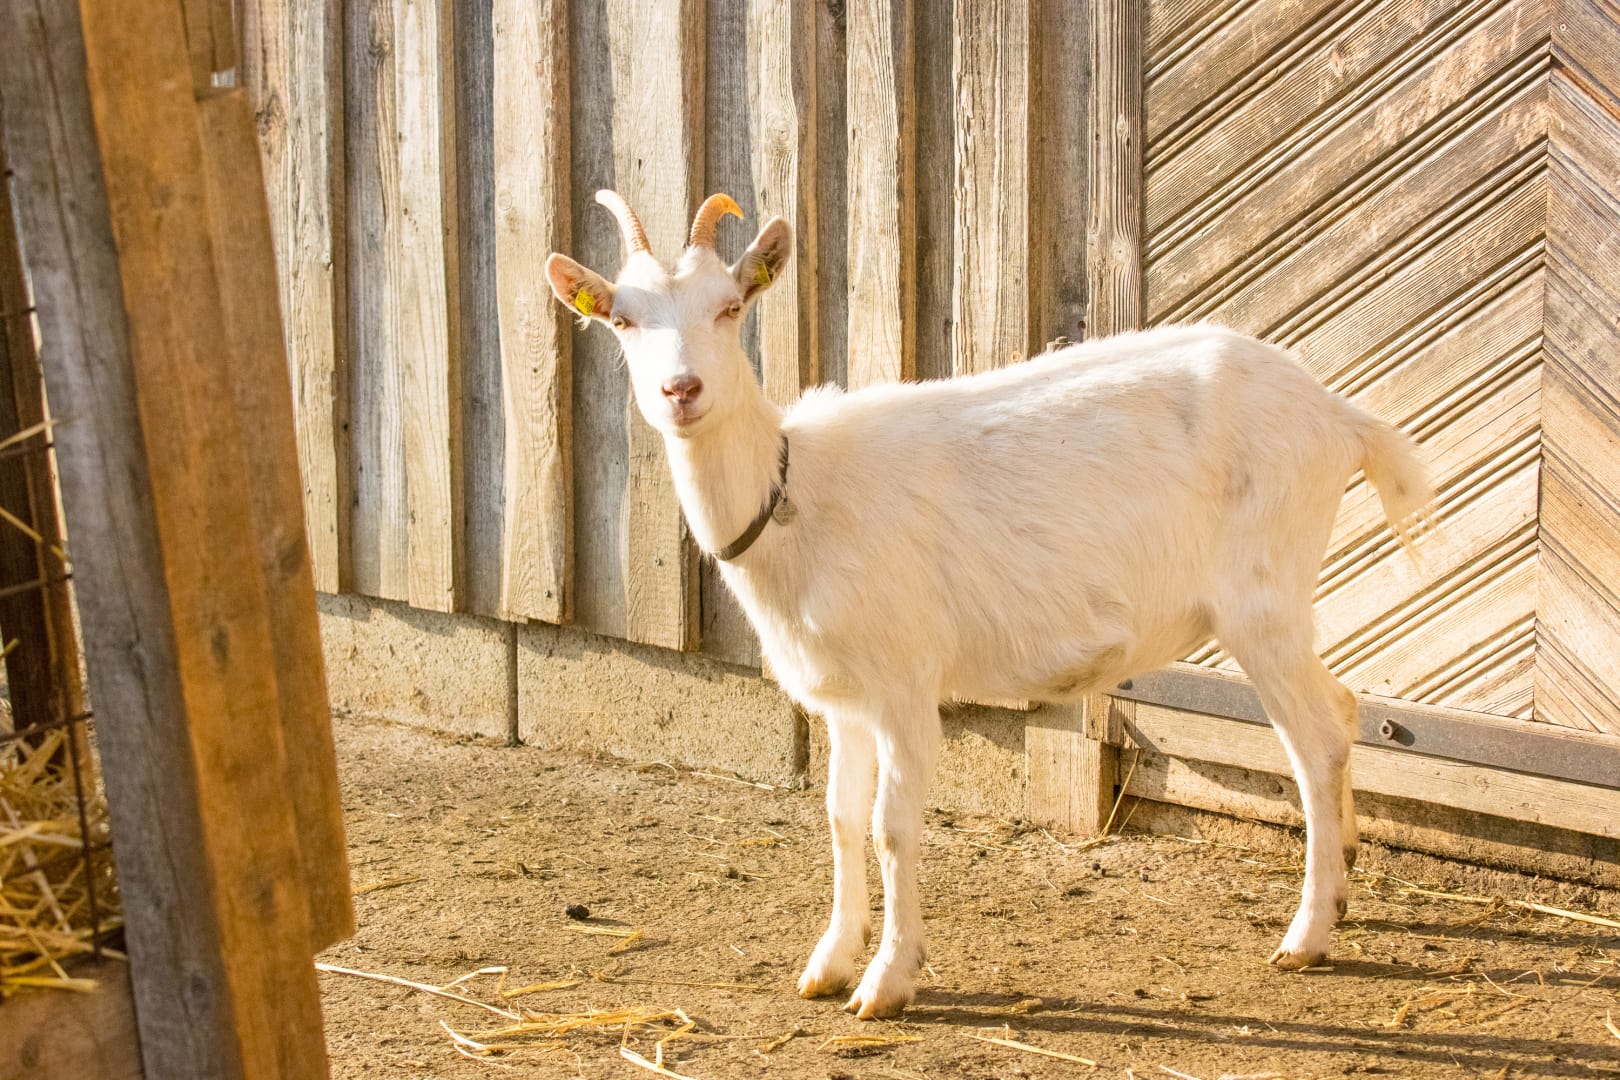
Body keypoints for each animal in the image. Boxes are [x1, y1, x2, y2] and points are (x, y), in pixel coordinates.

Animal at [545, 190, 1434, 1020]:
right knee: (1344, 705)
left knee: (1315, 737)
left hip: (1262, 599)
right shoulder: (844, 695)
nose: (681, 389)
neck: (801, 493)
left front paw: (888, 982)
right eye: (622, 319)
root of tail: (1339, 416)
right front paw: (828, 963)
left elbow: (893, 826)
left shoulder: (905, 682)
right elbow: (839, 817)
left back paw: (1306, 935)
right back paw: (1346, 881)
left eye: (730, 307)